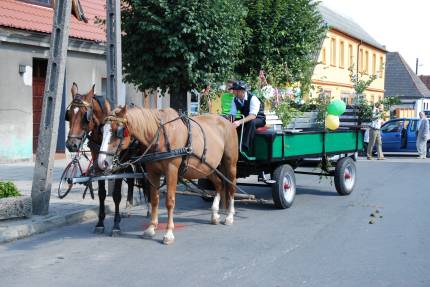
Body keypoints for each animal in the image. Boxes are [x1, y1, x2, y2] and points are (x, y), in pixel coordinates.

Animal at [64, 83, 143, 236]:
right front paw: (100, 223)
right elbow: (101, 194)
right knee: (131, 180)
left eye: (85, 116)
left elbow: (117, 194)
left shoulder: (118, 166)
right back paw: (128, 208)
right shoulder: (99, 164)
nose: (71, 145)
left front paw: (116, 225)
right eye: (69, 115)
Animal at [97, 106, 239, 245]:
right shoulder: (152, 172)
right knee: (219, 183)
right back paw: (214, 214)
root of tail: (227, 122)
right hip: (207, 167)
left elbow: (170, 201)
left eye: (118, 131)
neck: (159, 135)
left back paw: (229, 216)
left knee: (231, 187)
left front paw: (169, 233)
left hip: (230, 164)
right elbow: (154, 199)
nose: (102, 162)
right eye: (102, 130)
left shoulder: (172, 171)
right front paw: (151, 228)